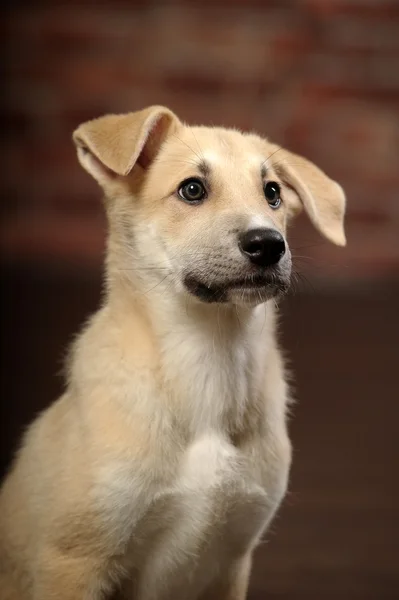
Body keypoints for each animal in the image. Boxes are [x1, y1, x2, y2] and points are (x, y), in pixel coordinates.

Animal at [0, 108, 346, 600]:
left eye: (273, 193)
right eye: (192, 189)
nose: (268, 244)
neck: (208, 358)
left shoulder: (231, 560)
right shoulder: (72, 562)